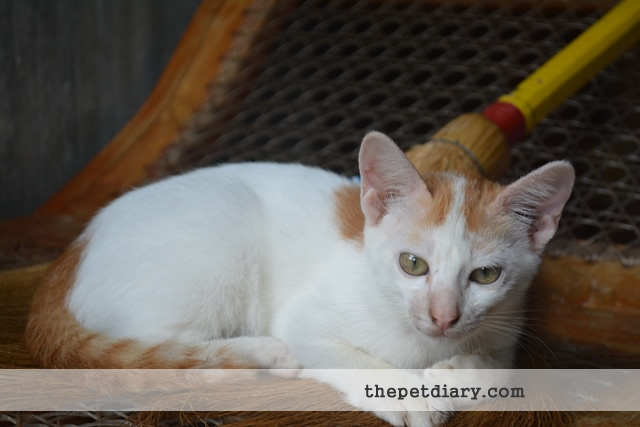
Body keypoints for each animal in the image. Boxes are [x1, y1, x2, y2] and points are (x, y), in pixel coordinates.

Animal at [25, 132, 576, 426]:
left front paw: (458, 374)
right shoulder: (304, 318)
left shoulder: (506, 325)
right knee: (158, 356)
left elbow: (500, 366)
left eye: (485, 275)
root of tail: (71, 253)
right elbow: (350, 357)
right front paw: (411, 396)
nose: (443, 316)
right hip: (217, 242)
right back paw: (259, 355)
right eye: (412, 264)